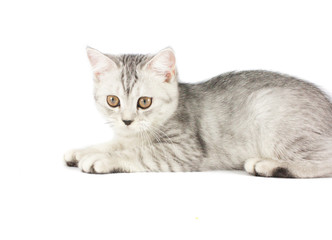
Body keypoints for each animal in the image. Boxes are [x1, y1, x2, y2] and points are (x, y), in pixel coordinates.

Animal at [64, 47, 332, 178]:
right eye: (113, 100)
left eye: (144, 102)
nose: (127, 120)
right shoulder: (125, 136)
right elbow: (113, 143)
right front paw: (82, 151)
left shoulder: (184, 149)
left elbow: (137, 153)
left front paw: (101, 159)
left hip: (270, 113)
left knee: (325, 160)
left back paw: (269, 166)